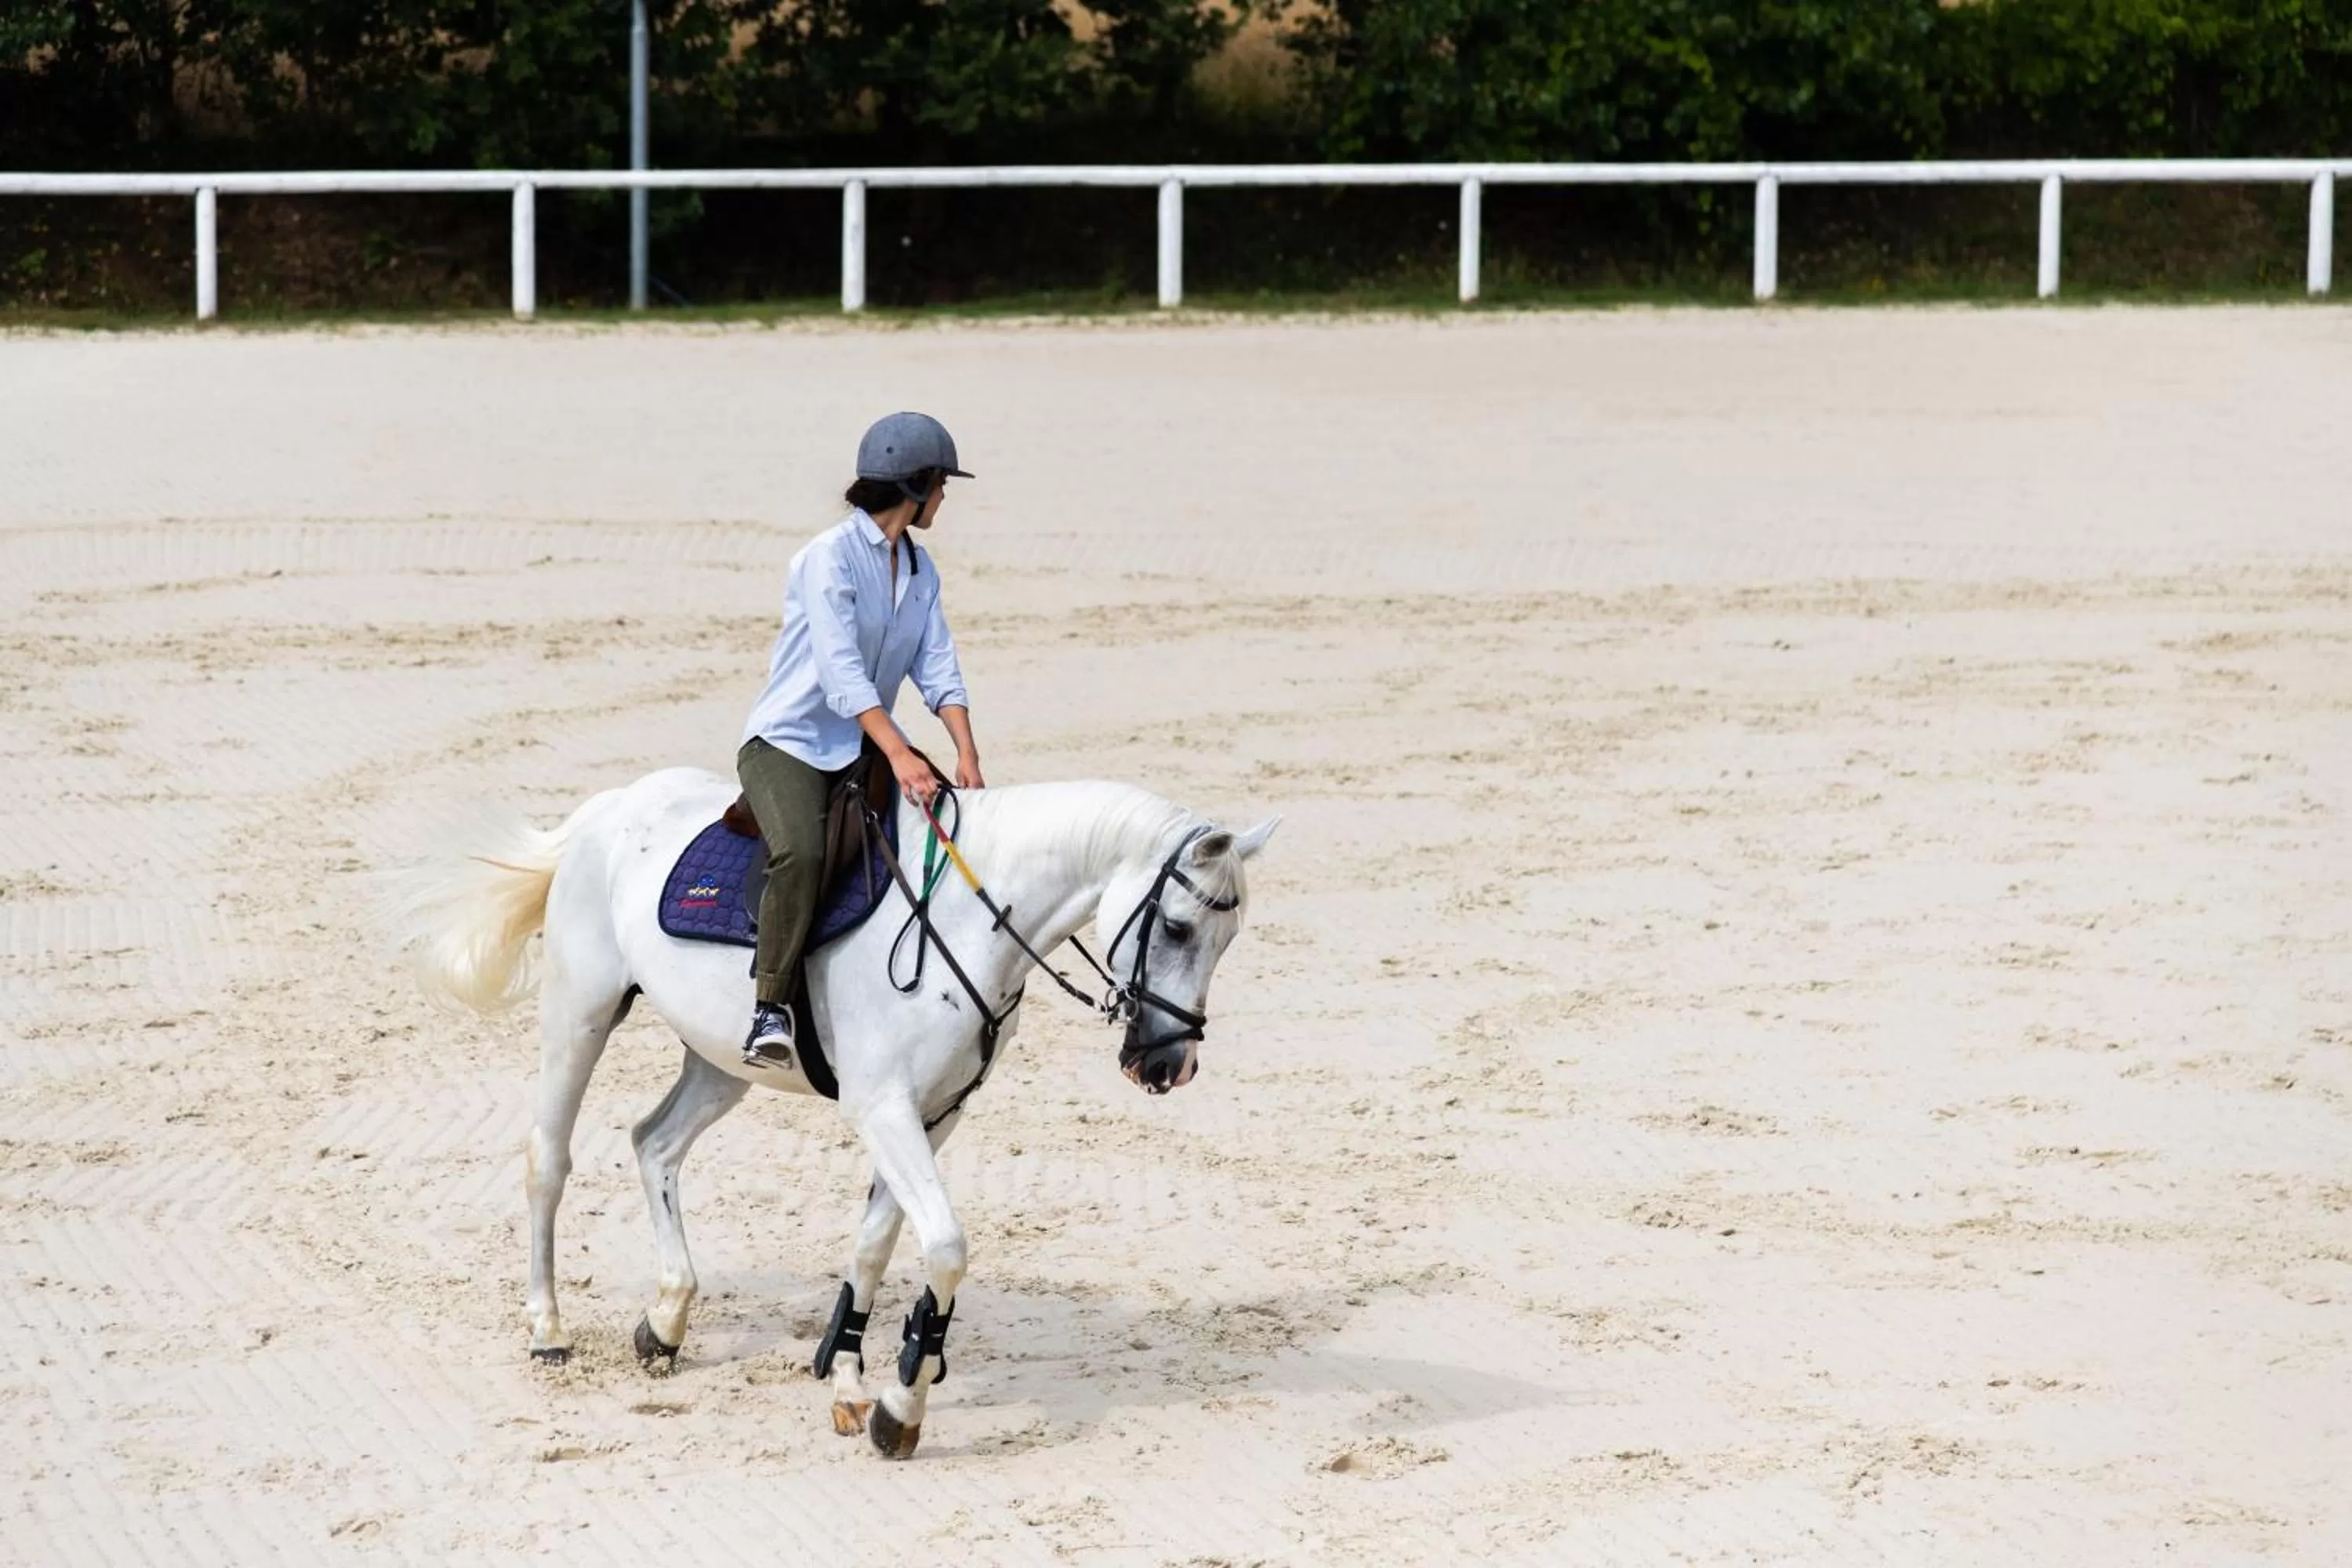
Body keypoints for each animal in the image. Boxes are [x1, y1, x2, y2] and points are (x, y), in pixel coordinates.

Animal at [393, 764, 1277, 1459]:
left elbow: (876, 1243)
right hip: (579, 1014)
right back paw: (548, 1330)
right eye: (1176, 927)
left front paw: (853, 1381)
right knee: (549, 1157)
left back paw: (667, 1319)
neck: (968, 917)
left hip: (719, 1061)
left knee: (655, 1143)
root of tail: (608, 808)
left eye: (1229, 940)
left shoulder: (935, 1114)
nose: (1167, 1064)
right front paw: (901, 1405)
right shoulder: (884, 1108)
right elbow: (944, 1246)